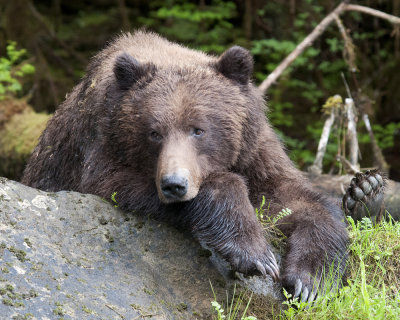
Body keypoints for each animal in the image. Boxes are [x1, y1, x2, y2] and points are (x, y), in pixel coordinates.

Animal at [22, 30, 346, 302]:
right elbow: (115, 183)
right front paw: (255, 254)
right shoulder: (101, 150)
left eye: (198, 129)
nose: (174, 185)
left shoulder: (253, 151)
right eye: (154, 132)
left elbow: (295, 198)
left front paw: (309, 280)